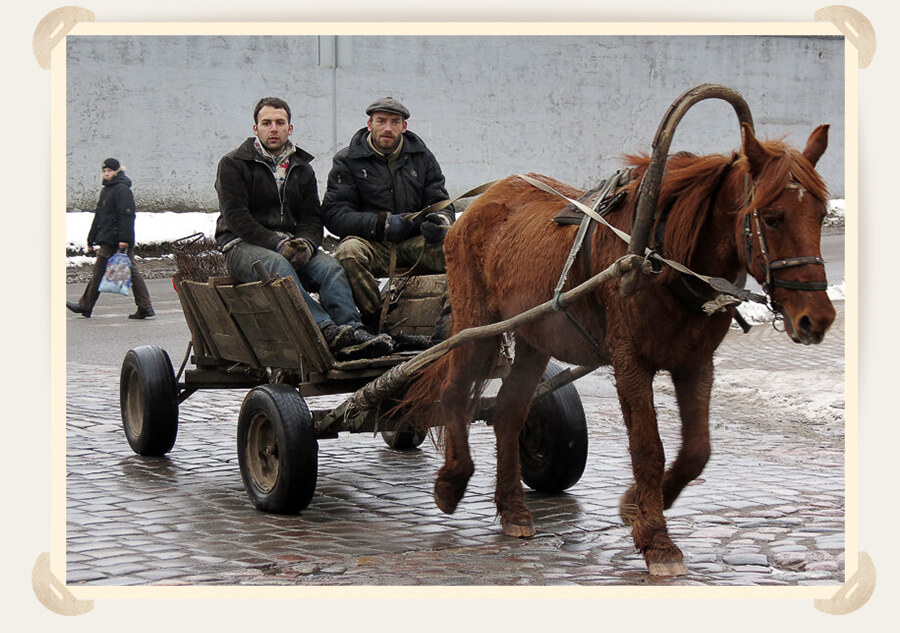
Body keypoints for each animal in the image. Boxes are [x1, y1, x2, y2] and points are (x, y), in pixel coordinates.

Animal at [400, 122, 836, 572]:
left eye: (820, 215)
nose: (816, 318)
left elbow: (697, 450)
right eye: (772, 217)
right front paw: (657, 540)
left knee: (509, 411)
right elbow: (647, 449)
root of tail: (479, 203)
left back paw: (513, 508)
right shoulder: (631, 363)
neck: (662, 259)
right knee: (455, 392)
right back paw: (451, 482)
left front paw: (634, 506)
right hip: (477, 324)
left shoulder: (696, 363)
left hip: (535, 335)